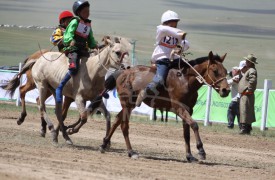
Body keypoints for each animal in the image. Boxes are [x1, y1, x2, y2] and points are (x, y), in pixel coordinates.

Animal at [99, 51, 231, 162]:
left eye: (226, 71)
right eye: (215, 70)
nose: (226, 90)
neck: (185, 79)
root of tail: (124, 72)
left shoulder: (189, 110)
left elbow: (186, 133)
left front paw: (190, 156)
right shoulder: (179, 108)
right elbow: (194, 124)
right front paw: (201, 150)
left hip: (130, 105)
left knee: (117, 120)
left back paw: (104, 144)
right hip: (127, 104)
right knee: (124, 126)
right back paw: (131, 152)